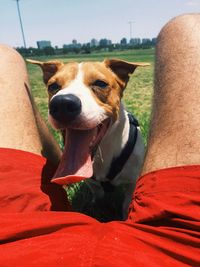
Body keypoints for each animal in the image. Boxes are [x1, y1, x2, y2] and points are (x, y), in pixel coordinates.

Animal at [28, 58, 149, 220]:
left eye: (101, 84)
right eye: (53, 86)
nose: (62, 104)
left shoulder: (132, 181)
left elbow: (126, 204)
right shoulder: (91, 182)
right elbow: (97, 194)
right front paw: (96, 207)